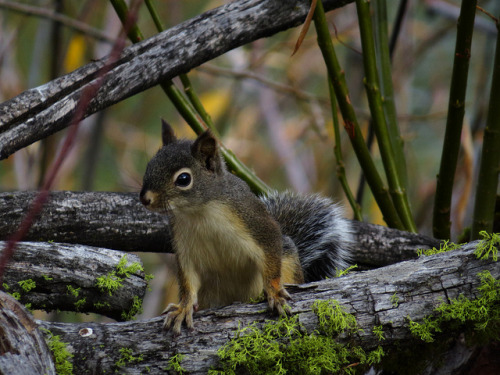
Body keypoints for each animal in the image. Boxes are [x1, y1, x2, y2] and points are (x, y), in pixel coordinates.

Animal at [139, 120, 354, 334]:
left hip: (289, 263)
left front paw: (275, 292)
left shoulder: (257, 224)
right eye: (149, 166)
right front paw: (183, 307)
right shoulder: (185, 247)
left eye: (183, 179)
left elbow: (270, 258)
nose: (145, 199)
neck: (200, 212)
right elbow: (188, 281)